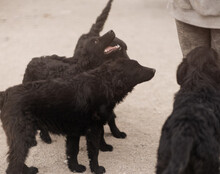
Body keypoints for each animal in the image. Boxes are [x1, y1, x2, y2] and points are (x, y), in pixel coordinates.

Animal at [0, 58, 155, 174]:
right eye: (137, 67)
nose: (154, 70)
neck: (104, 83)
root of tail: (5, 94)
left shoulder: (74, 131)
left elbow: (72, 152)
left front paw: (75, 168)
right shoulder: (93, 129)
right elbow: (93, 151)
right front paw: (97, 169)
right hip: (23, 135)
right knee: (14, 162)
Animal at [21, 0, 129, 144]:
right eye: (96, 41)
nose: (112, 31)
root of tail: (33, 60)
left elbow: (110, 118)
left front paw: (116, 133)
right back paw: (46, 136)